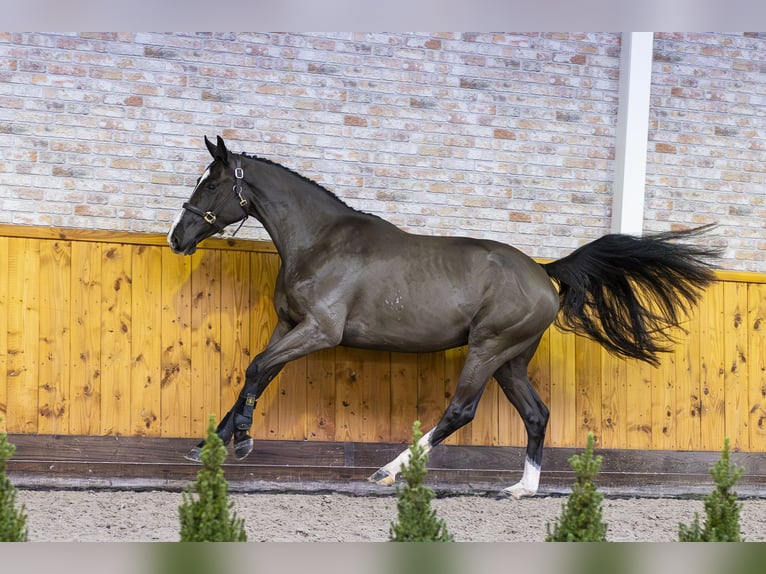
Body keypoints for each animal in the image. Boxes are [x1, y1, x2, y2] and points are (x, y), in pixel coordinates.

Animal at [168, 135, 720, 500]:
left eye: (211, 184)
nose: (177, 237)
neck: (321, 242)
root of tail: (544, 273)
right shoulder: (289, 326)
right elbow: (255, 372)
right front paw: (209, 445)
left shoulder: (319, 331)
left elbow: (258, 367)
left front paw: (241, 441)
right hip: (511, 360)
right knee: (536, 414)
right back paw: (521, 489)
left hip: (488, 348)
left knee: (460, 411)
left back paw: (388, 472)